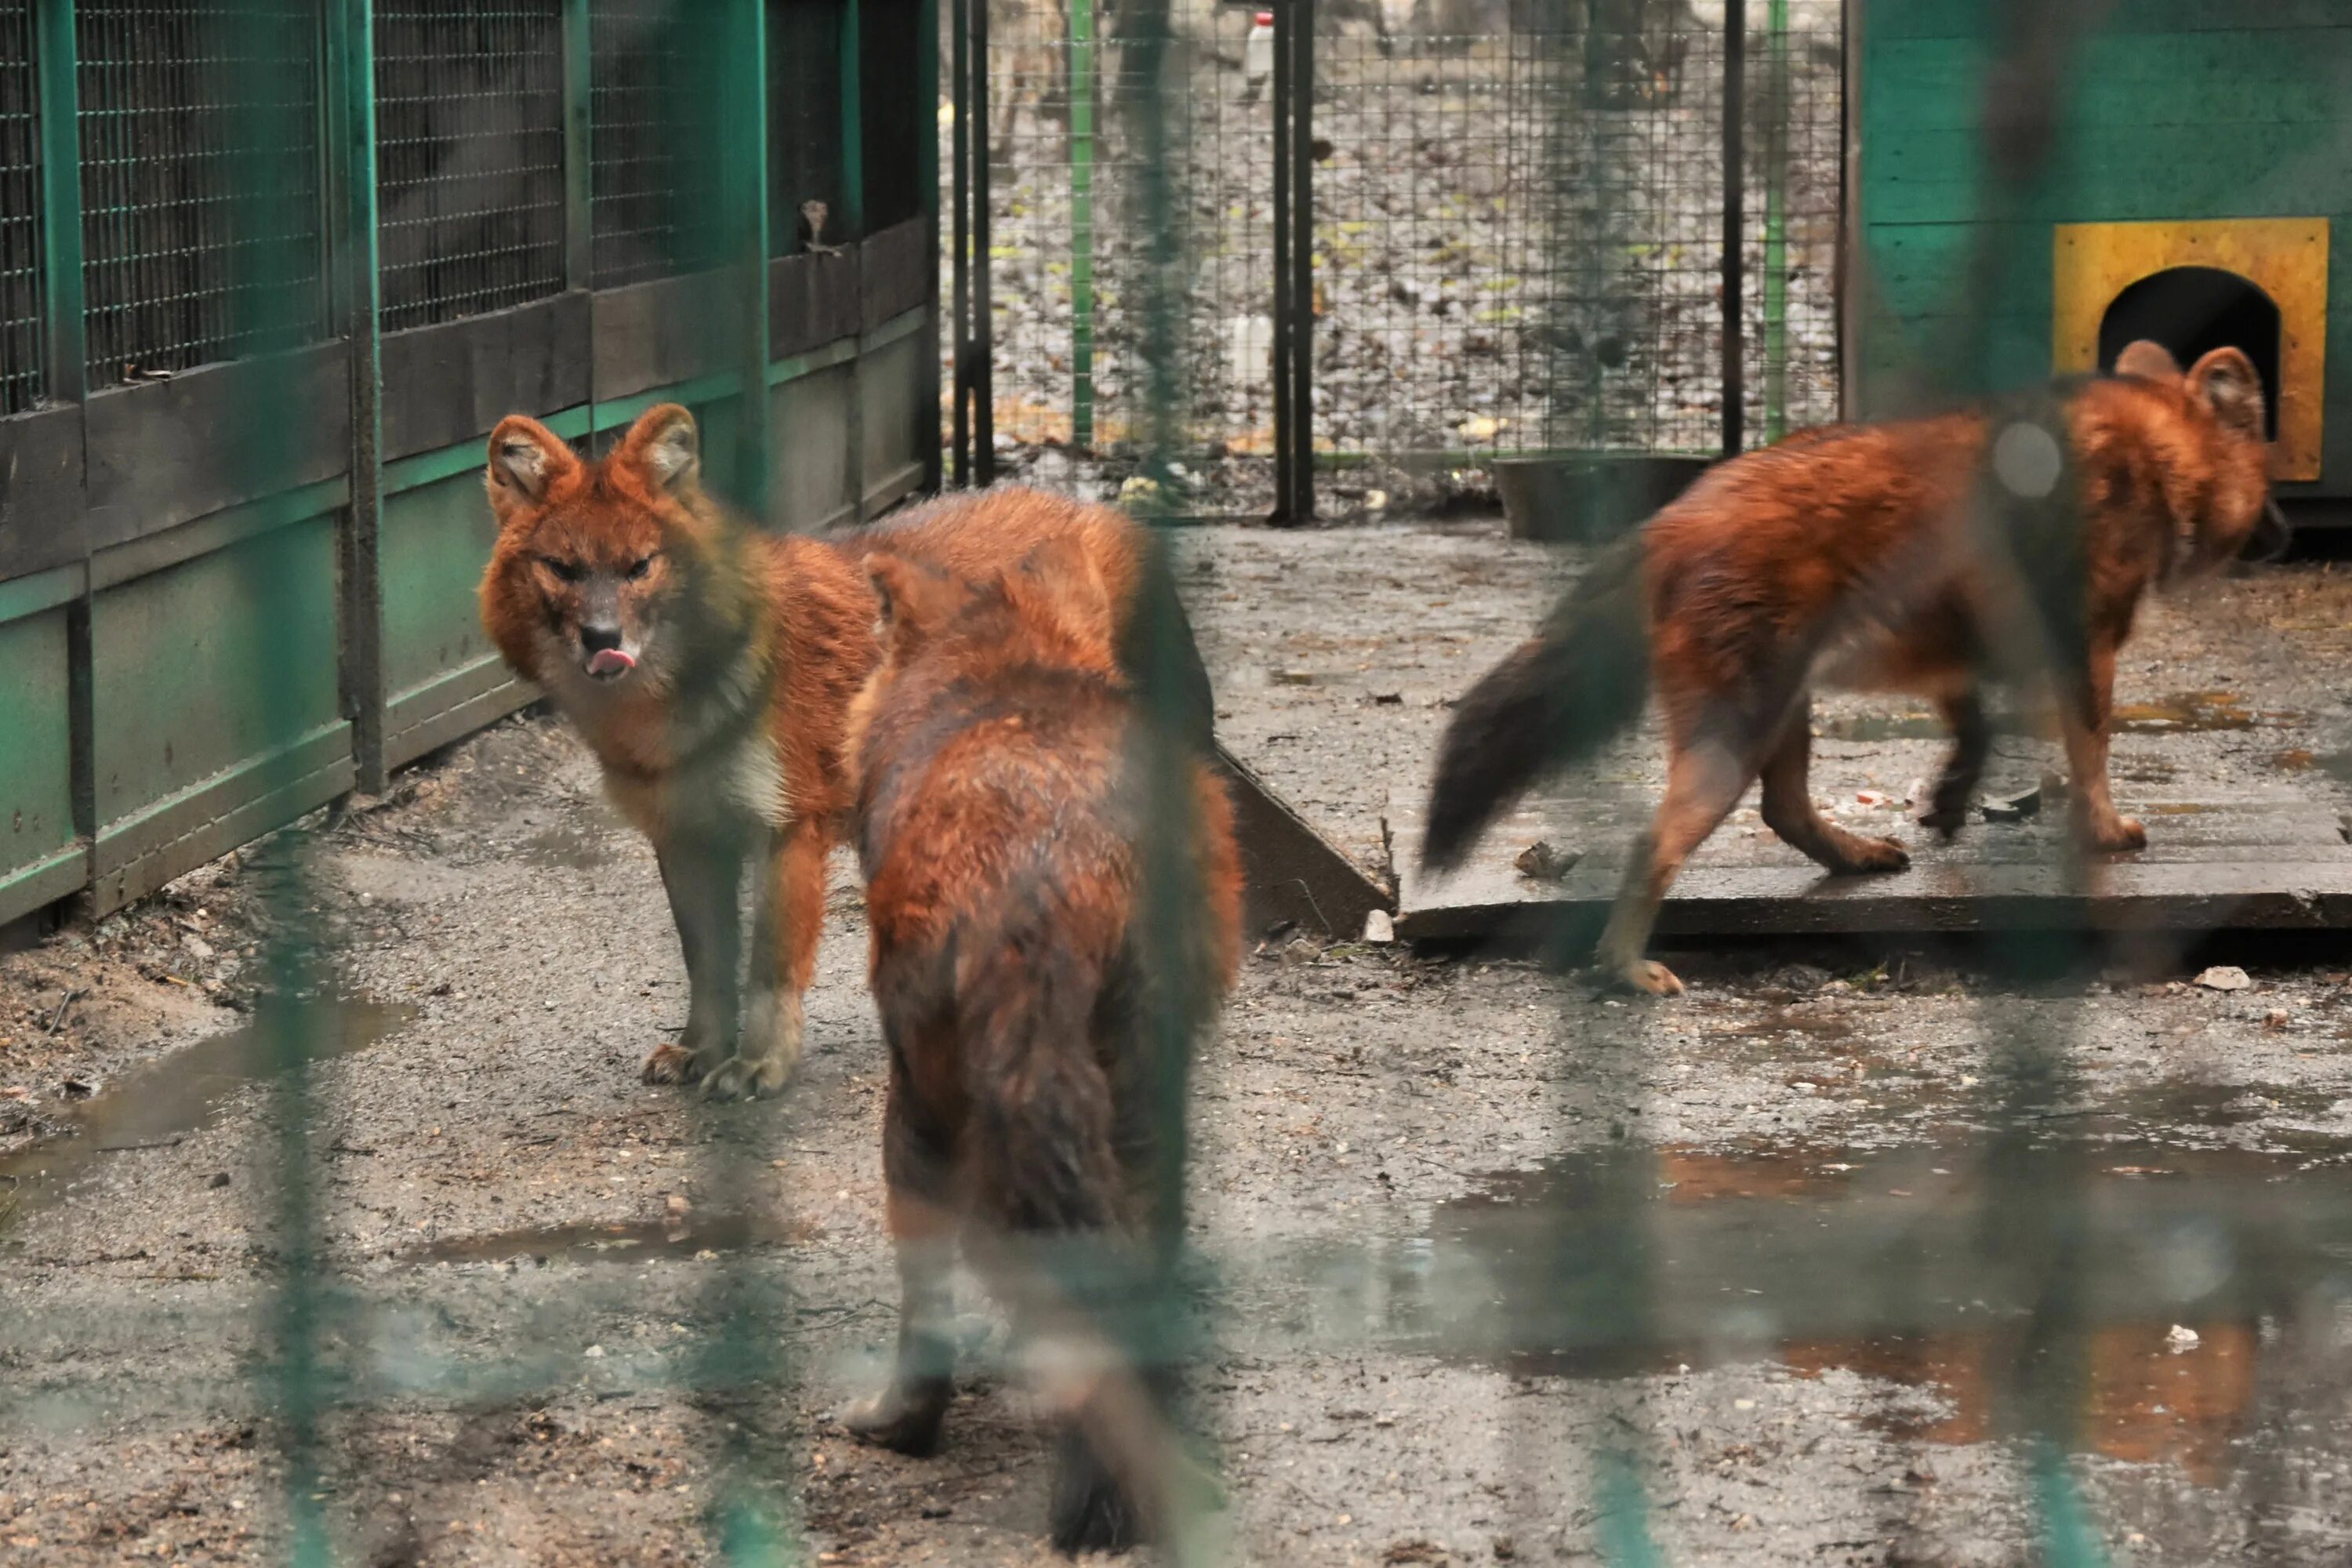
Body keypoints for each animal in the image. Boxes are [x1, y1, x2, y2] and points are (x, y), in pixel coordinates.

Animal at [1411, 350, 2277, 1001]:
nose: (2281, 528)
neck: (2151, 451)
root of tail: (1671, 519)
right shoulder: (2084, 648)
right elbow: (2092, 748)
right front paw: (2106, 830)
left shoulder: (1947, 649)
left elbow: (1973, 730)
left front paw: (1949, 801)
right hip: (1739, 734)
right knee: (1654, 841)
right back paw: (1625, 968)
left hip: (1786, 708)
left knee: (1786, 810)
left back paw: (1857, 855)